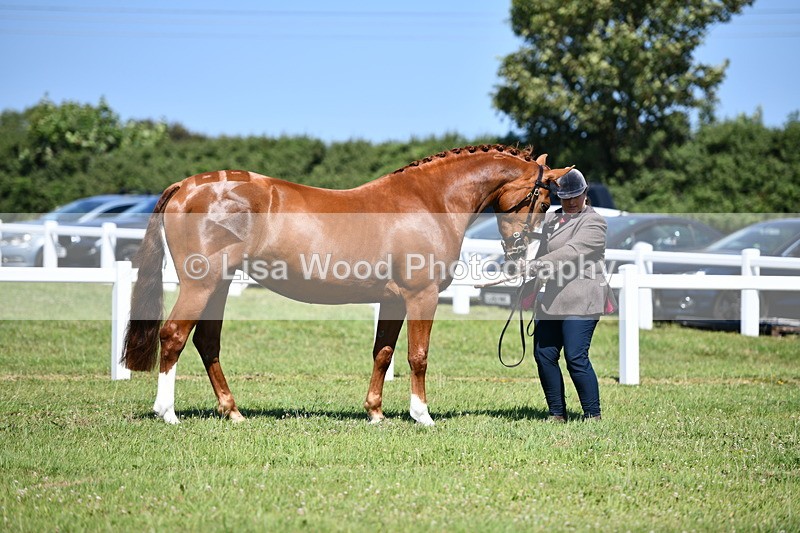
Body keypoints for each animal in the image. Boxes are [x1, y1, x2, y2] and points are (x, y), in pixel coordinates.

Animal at [122, 144, 569, 425]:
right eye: (542, 201)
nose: (519, 257)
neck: (429, 201)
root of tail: (186, 186)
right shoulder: (421, 297)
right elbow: (418, 356)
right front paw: (422, 415)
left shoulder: (393, 302)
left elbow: (383, 354)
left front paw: (375, 413)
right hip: (201, 284)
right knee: (174, 335)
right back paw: (167, 413)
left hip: (219, 285)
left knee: (206, 342)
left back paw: (232, 411)